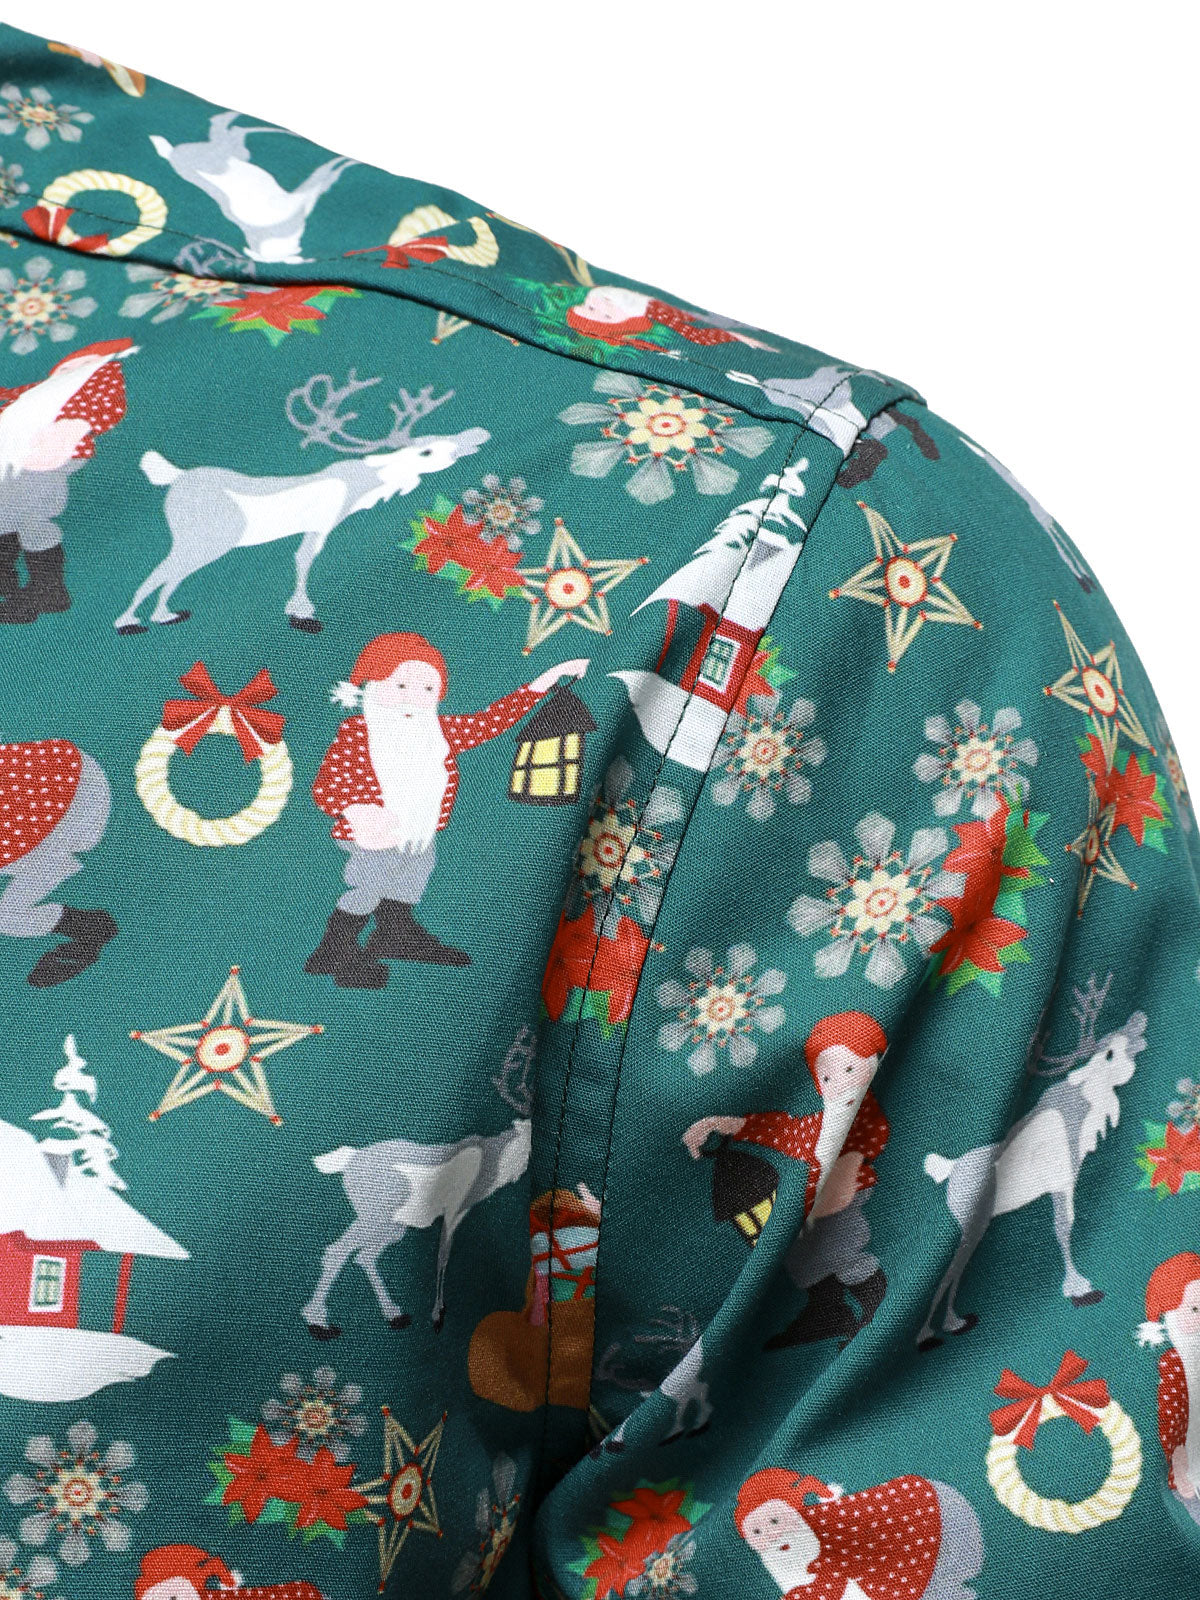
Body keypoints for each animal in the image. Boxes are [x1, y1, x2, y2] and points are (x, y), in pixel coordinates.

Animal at [116, 372, 489, 635]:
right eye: (427, 450)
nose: (477, 437)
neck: (362, 487)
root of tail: (175, 477)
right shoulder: (323, 522)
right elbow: (304, 559)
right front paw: (302, 612)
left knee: (172, 573)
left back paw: (163, 616)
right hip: (208, 538)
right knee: (162, 571)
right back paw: (129, 621)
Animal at [149, 110, 356, 264]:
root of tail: (172, 154)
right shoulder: (305, 194)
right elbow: (329, 172)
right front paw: (348, 163)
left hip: (236, 153)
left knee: (229, 129)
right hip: (228, 152)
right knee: (229, 129)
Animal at [917, 974, 1148, 1350]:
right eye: (1110, 1052)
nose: (1139, 1023)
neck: (1083, 1116)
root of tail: (948, 1170)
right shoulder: (1063, 1179)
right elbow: (1063, 1228)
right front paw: (1079, 1288)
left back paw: (953, 1322)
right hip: (971, 1222)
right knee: (951, 1270)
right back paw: (930, 1331)